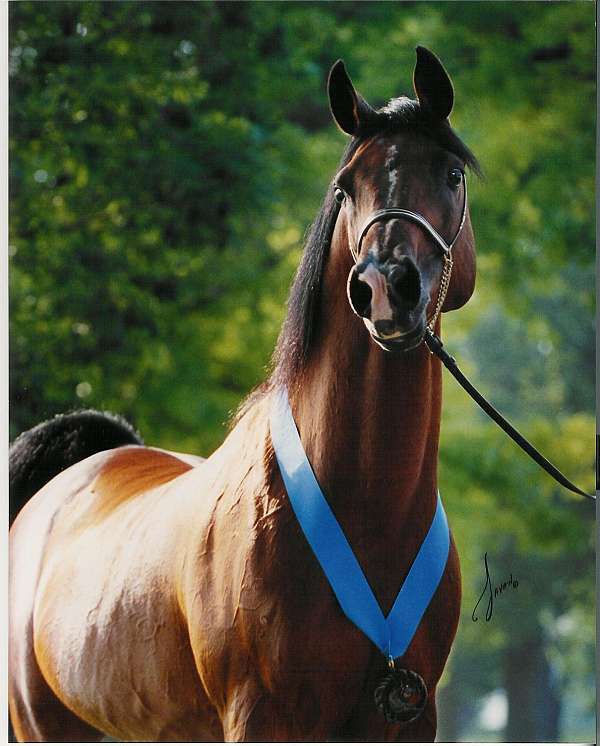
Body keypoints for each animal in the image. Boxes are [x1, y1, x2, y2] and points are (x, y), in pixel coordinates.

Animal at [9, 46, 479, 742]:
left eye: (451, 174)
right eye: (347, 186)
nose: (384, 285)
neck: (369, 510)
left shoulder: (409, 717)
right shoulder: (260, 715)